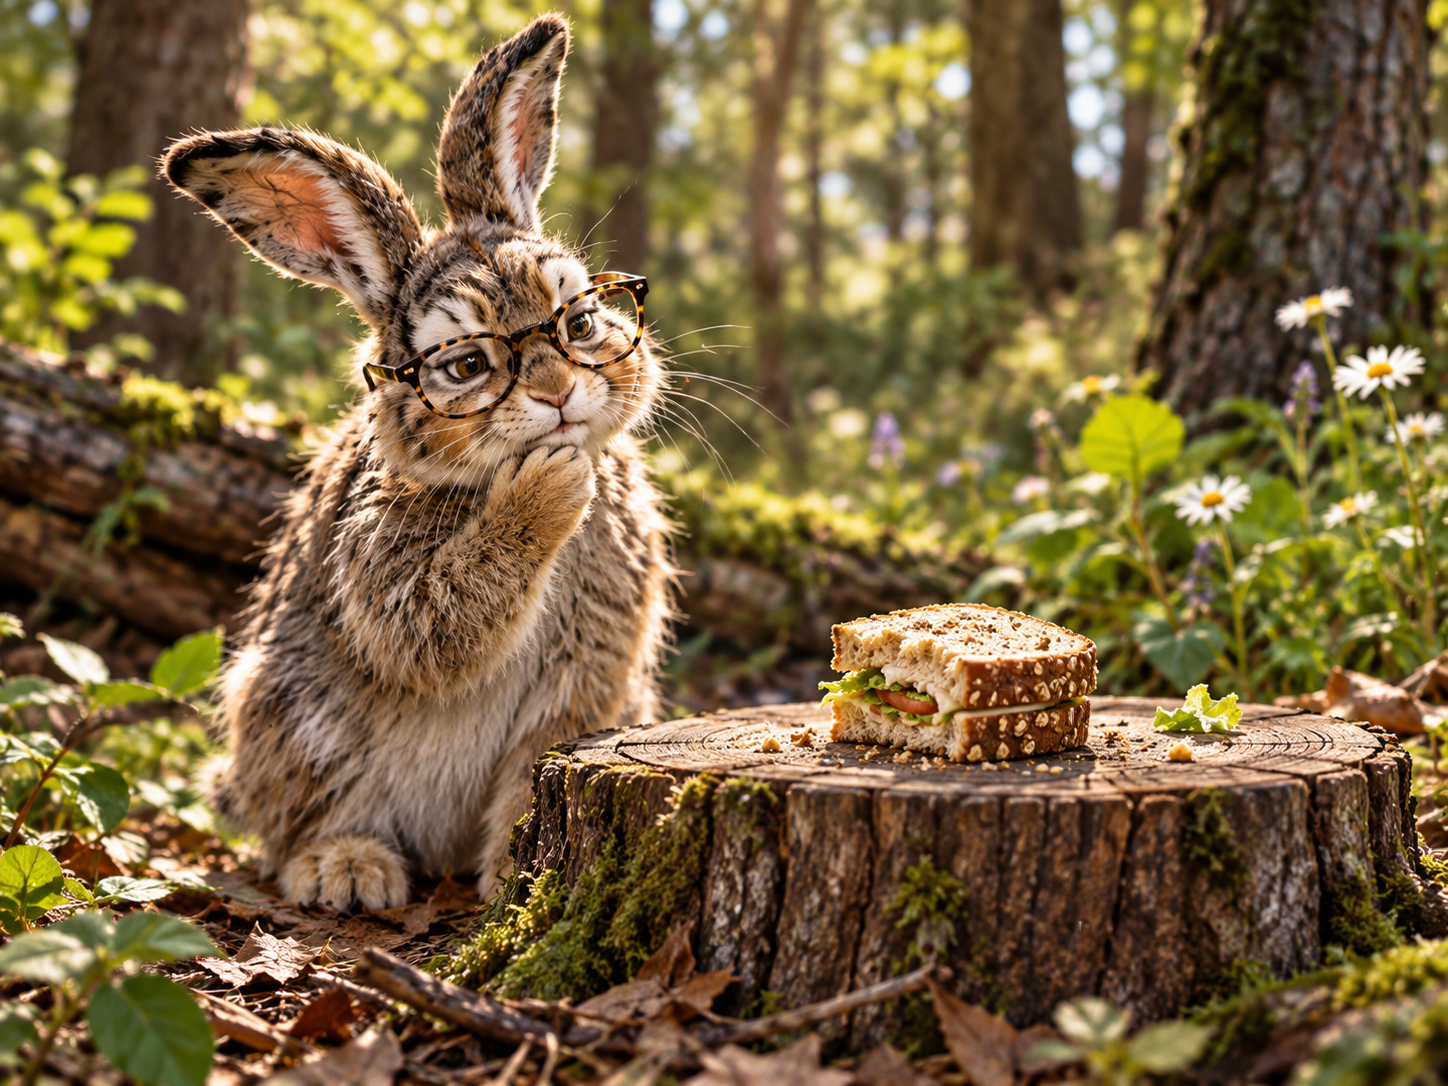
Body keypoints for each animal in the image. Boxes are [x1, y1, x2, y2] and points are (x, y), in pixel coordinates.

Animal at [162, 13, 674, 910]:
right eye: (466, 365)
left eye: (578, 321)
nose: (557, 394)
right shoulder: (384, 567)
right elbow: (435, 622)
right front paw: (551, 486)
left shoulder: (582, 689)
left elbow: (529, 773)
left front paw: (516, 882)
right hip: (290, 712)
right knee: (296, 820)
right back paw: (346, 869)